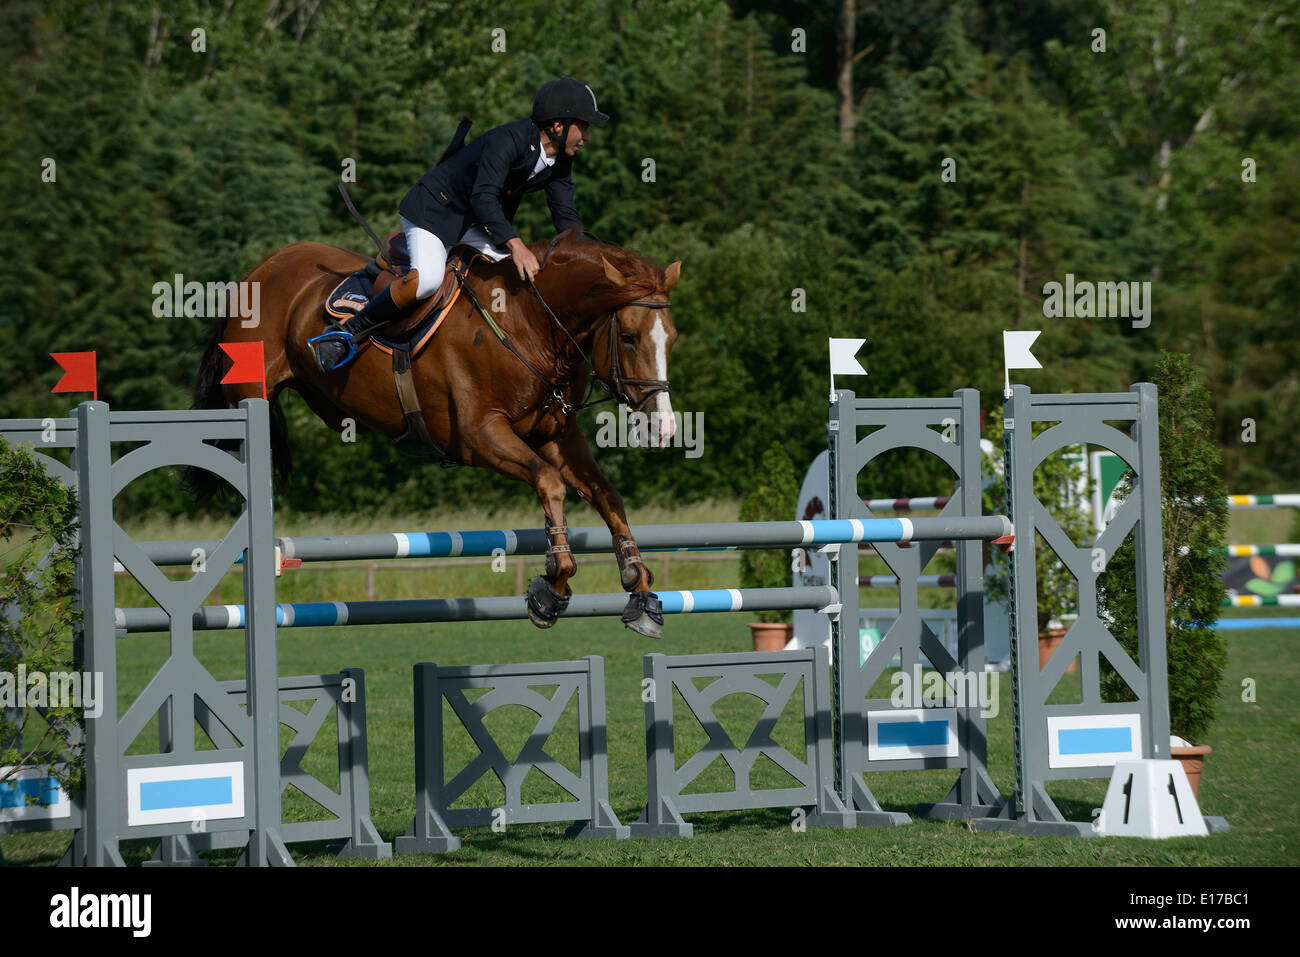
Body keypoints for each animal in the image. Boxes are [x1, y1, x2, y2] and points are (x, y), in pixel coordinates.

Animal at [195, 226, 681, 634]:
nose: (663, 428)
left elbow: (604, 494)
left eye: (672, 338)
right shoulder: (479, 435)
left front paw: (639, 588)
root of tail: (262, 268)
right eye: (630, 337)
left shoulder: (555, 436)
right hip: (250, 393)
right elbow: (550, 483)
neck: (529, 322)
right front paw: (552, 587)